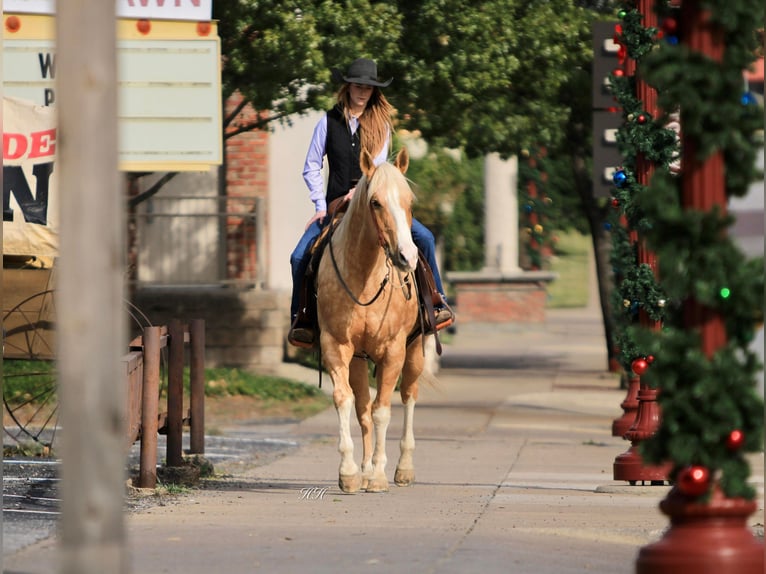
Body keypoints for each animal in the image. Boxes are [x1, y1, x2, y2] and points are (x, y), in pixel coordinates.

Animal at [318, 148, 426, 496]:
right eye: (375, 202)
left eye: (409, 200)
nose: (407, 257)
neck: (364, 276)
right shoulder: (336, 346)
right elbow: (348, 402)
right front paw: (352, 472)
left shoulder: (394, 351)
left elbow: (382, 411)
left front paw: (379, 475)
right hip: (358, 359)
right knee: (362, 408)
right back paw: (364, 470)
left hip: (415, 351)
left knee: (408, 396)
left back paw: (404, 468)